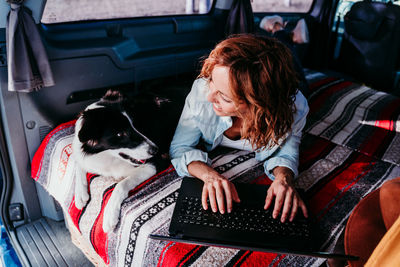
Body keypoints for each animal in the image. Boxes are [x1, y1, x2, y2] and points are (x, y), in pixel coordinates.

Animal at [72, 89, 180, 232]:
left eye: (135, 125)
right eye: (120, 134)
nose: (155, 150)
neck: (107, 157)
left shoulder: (157, 162)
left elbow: (121, 184)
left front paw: (110, 215)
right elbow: (78, 162)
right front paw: (80, 194)